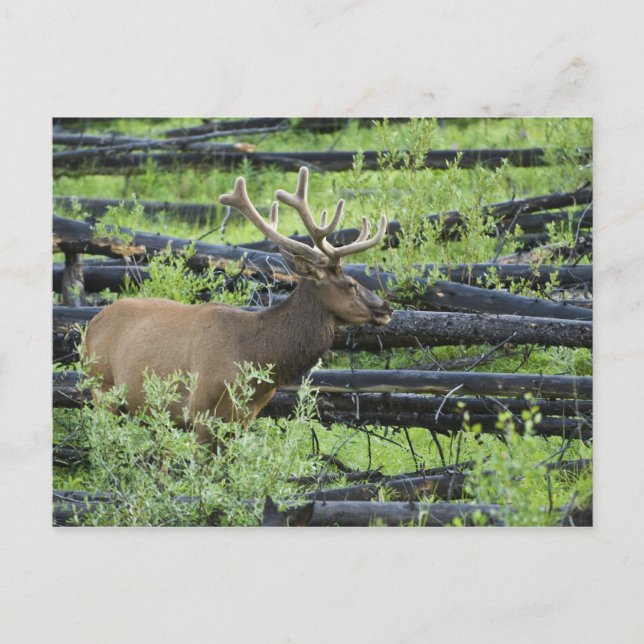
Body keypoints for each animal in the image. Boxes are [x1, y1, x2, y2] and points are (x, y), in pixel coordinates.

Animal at [84, 166, 392, 444]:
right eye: (351, 284)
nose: (386, 308)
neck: (255, 358)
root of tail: (91, 324)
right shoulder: (200, 412)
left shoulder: (243, 419)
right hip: (102, 388)